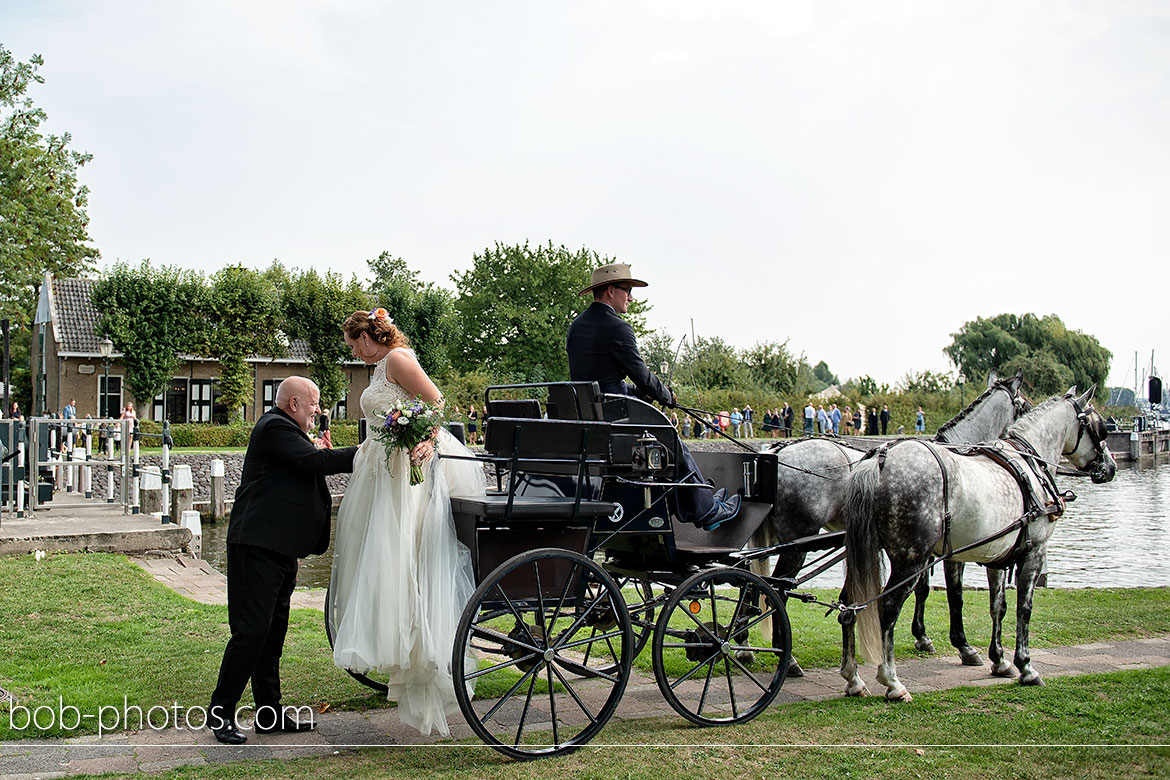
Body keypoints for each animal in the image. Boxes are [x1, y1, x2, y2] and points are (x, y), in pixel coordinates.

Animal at [842, 388, 1113, 696]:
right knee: (887, 609)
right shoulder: (1034, 552)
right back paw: (892, 680)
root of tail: (880, 458)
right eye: (1101, 427)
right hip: (910, 560)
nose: (1111, 467)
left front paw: (999, 659)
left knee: (849, 604)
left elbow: (998, 605)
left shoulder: (996, 555)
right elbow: (1022, 608)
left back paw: (853, 678)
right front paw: (1026, 666)